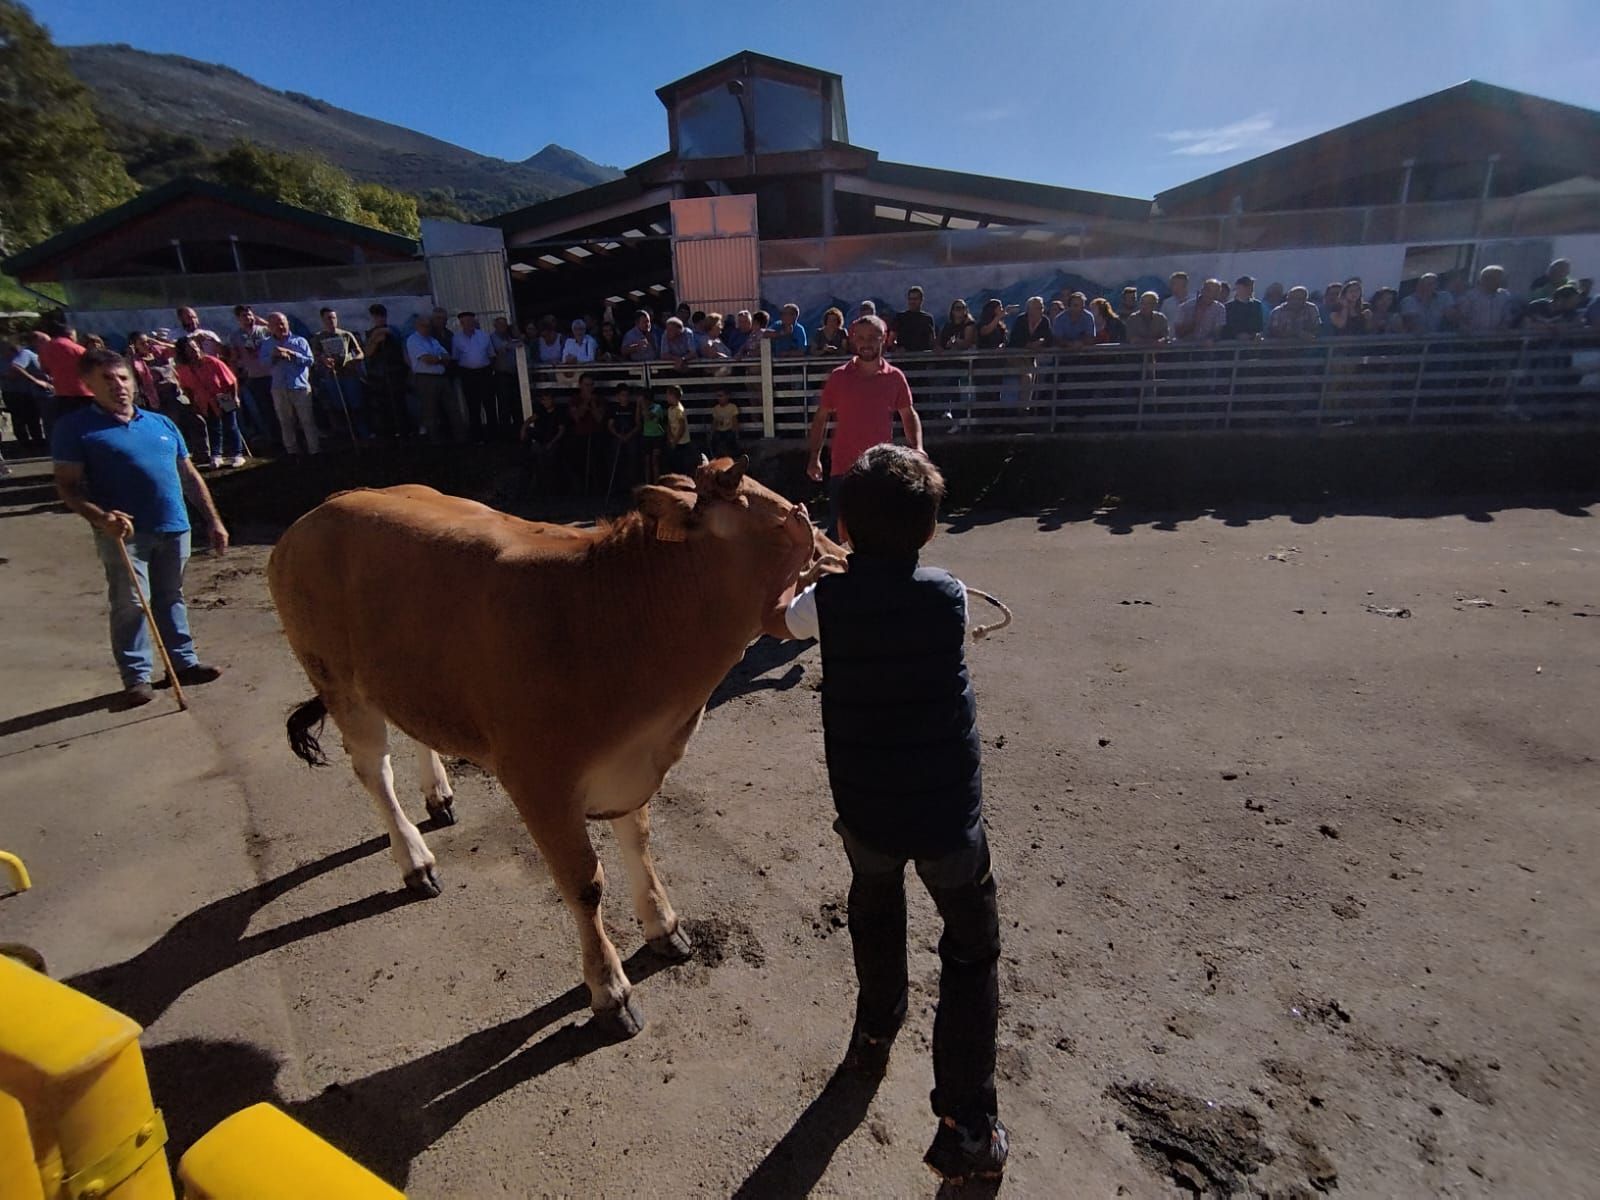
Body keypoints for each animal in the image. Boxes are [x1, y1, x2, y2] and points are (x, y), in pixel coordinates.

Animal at [272, 454, 851, 1036]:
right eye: (791, 521)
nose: (844, 559)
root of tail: (327, 505)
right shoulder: (539, 783)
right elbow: (584, 884)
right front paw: (609, 990)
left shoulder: (628, 765)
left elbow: (639, 842)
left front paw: (663, 925)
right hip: (338, 681)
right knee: (374, 770)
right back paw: (415, 861)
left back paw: (439, 796)